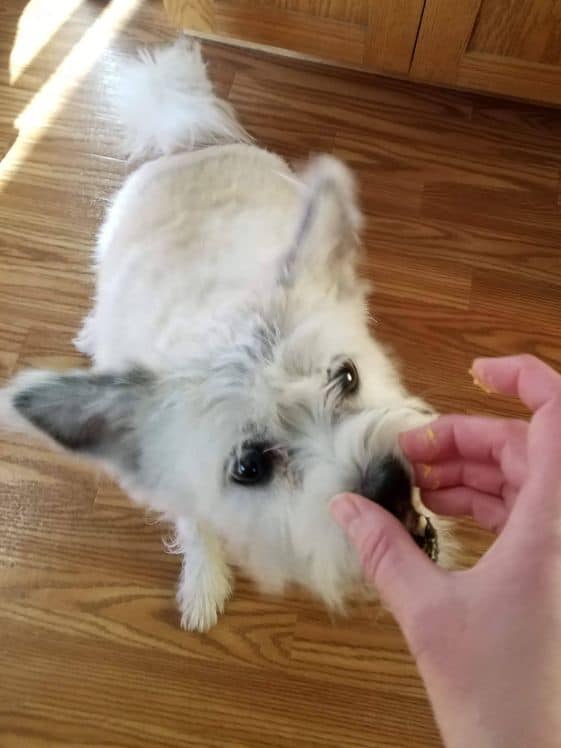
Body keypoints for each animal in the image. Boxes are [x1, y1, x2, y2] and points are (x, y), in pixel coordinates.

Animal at [0, 41, 448, 632]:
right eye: (249, 469)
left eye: (348, 376)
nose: (390, 481)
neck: (211, 320)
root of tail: (185, 148)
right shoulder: (182, 495)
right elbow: (197, 532)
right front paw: (204, 583)